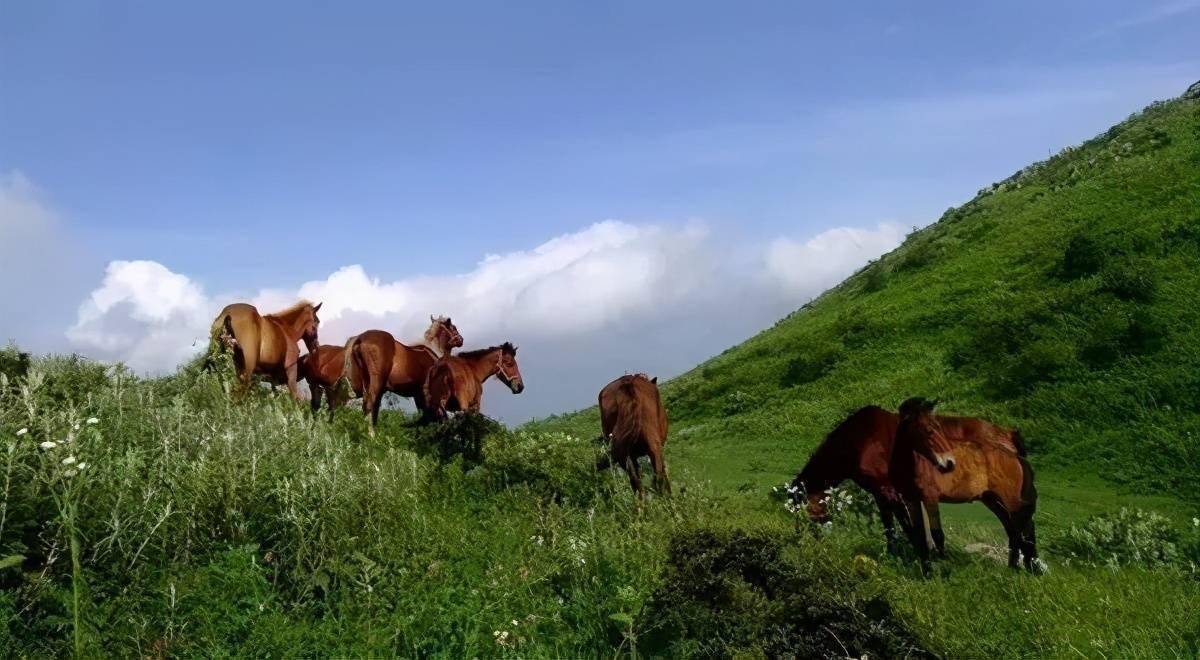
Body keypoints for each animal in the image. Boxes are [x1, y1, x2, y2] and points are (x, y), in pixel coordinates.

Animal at [595, 372, 672, 501]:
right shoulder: (658, 448)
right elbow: (663, 471)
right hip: (652, 447)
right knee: (657, 476)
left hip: (625, 457)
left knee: (636, 484)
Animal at [892, 398, 1041, 573]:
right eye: (928, 430)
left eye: (938, 427)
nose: (948, 464)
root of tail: (1014, 455)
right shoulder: (912, 500)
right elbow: (919, 535)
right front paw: (926, 569)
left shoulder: (930, 498)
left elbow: (937, 534)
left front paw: (943, 567)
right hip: (994, 501)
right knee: (1013, 531)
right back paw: (1014, 567)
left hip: (1012, 502)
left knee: (1025, 530)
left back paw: (1031, 569)